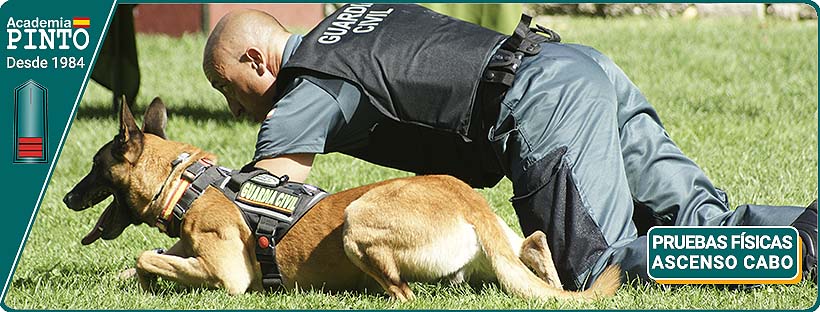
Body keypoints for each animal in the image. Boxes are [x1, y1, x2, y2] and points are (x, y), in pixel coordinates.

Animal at [64, 98, 620, 302]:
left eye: (94, 166)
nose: (67, 197)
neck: (187, 181)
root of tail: (469, 204)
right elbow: (140, 262)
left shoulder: (229, 275)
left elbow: (145, 255)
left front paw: (144, 275)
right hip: (505, 248)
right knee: (536, 244)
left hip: (357, 221)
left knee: (405, 295)